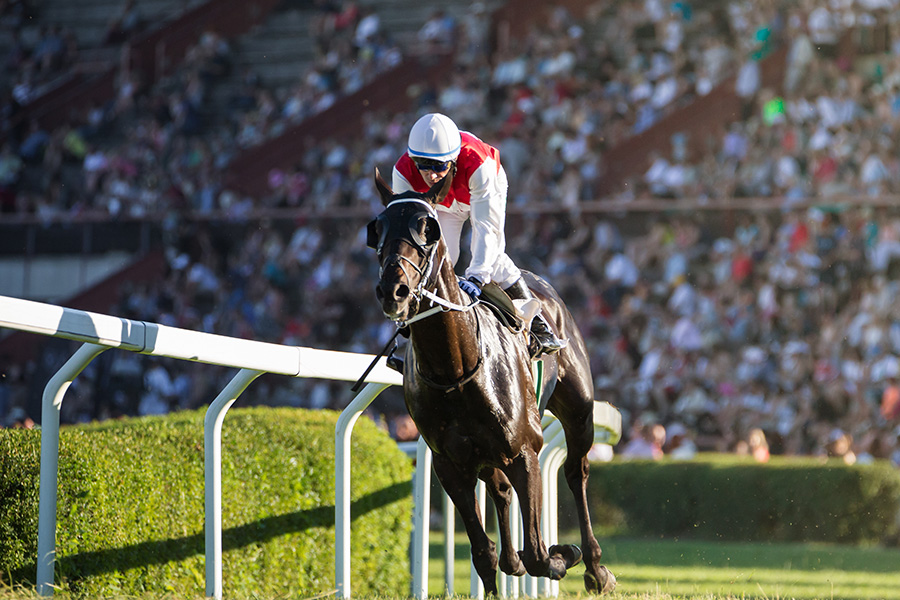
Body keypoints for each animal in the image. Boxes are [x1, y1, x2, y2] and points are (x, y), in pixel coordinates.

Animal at [364, 169, 612, 596]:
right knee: (500, 491)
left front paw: (565, 553)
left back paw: (595, 568)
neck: (456, 370)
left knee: (575, 472)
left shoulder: (525, 451)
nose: (394, 290)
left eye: (427, 229)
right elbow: (484, 553)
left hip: (579, 411)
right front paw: (514, 563)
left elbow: (539, 554)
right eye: (376, 229)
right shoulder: (450, 464)